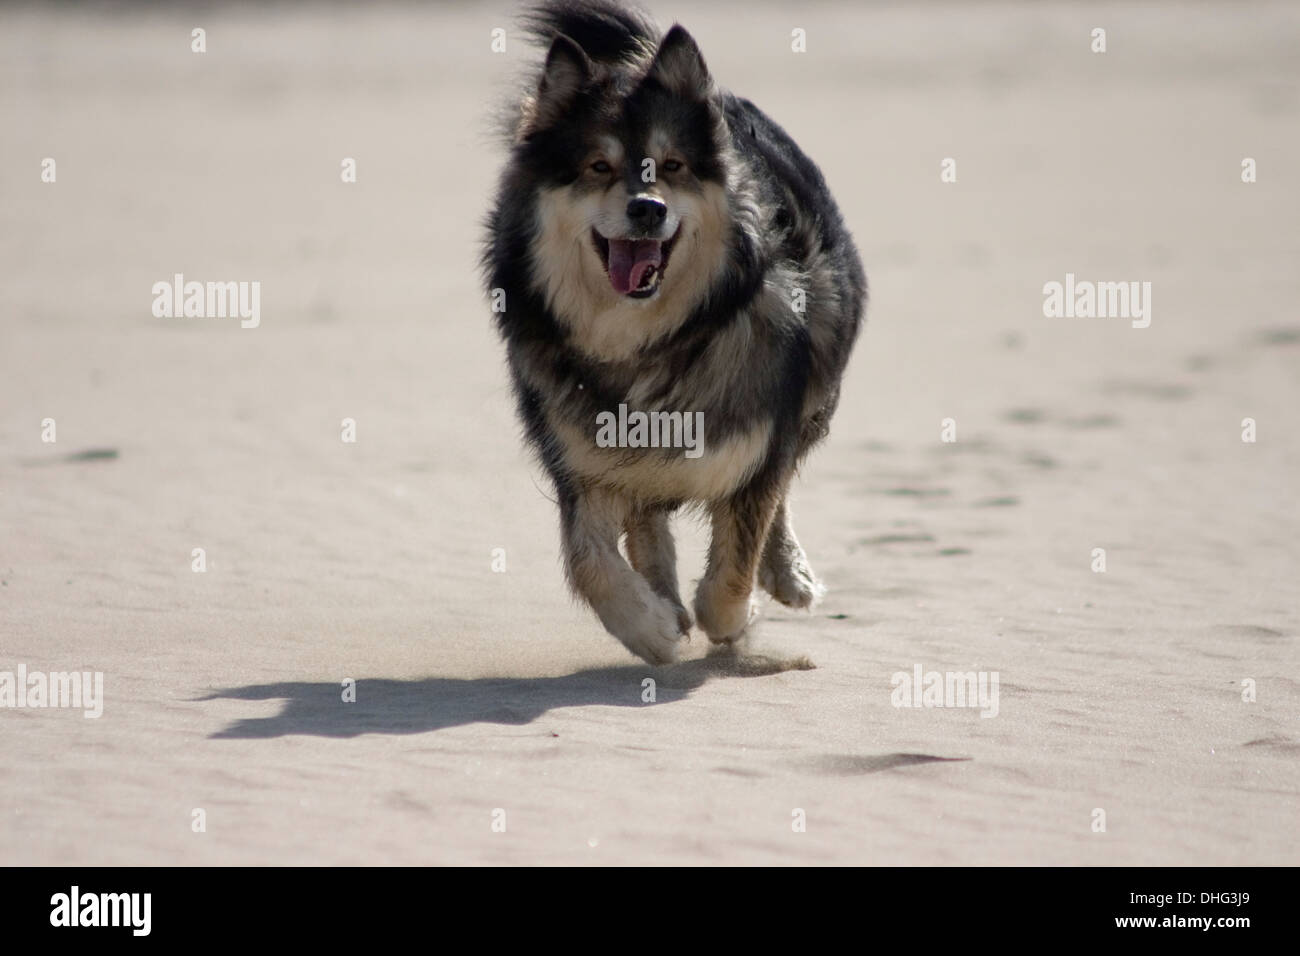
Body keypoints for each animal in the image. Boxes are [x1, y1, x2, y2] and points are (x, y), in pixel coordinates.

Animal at [483, 0, 868, 660]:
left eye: (672, 167)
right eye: (599, 166)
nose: (648, 208)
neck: (650, 341)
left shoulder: (758, 441)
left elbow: (738, 556)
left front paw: (738, 618)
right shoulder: (580, 457)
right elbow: (586, 560)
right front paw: (649, 626)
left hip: (814, 391)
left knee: (782, 488)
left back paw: (787, 574)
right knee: (646, 517)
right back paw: (663, 592)